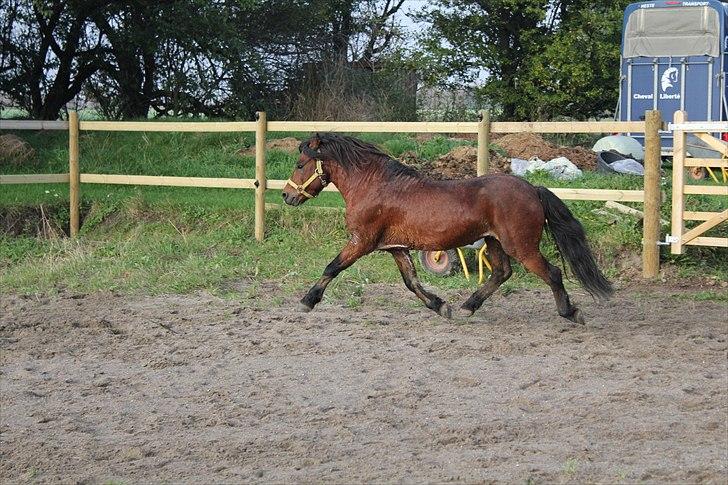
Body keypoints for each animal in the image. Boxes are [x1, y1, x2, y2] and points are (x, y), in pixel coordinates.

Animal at [282, 132, 612, 324]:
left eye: (300, 164)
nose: (286, 196)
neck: (374, 185)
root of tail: (532, 188)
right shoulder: (396, 247)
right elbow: (412, 283)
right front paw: (441, 306)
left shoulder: (361, 241)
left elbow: (332, 267)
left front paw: (307, 302)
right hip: (493, 241)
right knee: (502, 273)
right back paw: (467, 307)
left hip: (521, 246)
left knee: (551, 273)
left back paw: (570, 313)